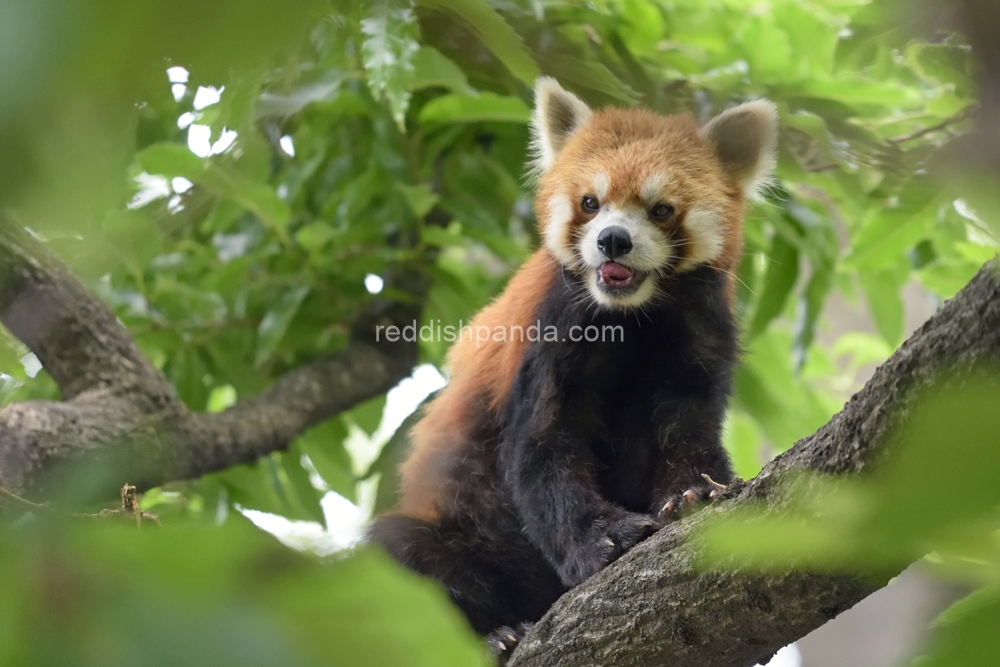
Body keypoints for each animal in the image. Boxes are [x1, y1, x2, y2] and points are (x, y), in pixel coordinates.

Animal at [372, 77, 776, 656]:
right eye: (591, 203)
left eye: (660, 210)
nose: (613, 240)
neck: (633, 316)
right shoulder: (552, 332)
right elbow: (540, 452)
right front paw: (607, 538)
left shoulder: (699, 333)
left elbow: (685, 430)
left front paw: (695, 492)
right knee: (399, 552)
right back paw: (494, 635)